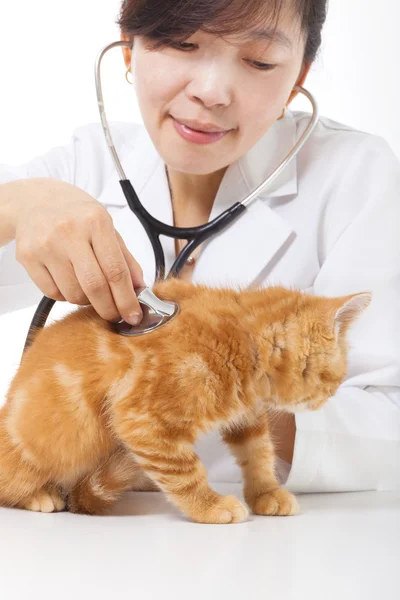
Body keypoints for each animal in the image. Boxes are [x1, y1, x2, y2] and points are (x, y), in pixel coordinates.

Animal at [0, 278, 370, 524]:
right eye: (335, 378)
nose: (330, 399)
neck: (242, 337)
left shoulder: (247, 413)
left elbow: (259, 452)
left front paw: (266, 492)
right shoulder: (143, 420)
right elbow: (184, 471)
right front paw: (209, 505)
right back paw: (40, 495)